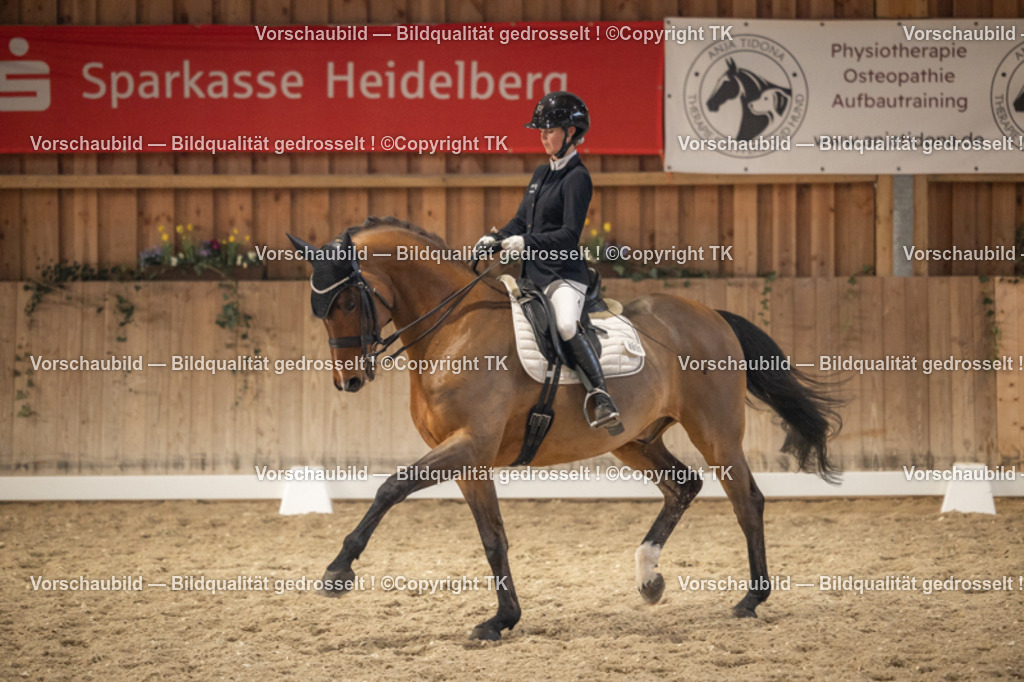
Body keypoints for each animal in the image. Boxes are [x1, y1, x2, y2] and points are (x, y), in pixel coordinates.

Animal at [287, 217, 841, 641]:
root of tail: (711, 314)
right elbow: (493, 537)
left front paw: (338, 571)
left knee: (746, 500)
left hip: (716, 433)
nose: (349, 380)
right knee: (683, 486)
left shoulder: (468, 445)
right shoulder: (470, 460)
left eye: (347, 302)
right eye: (318, 310)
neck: (453, 328)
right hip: (635, 439)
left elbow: (391, 487)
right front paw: (502, 620)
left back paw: (751, 599)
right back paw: (649, 578)